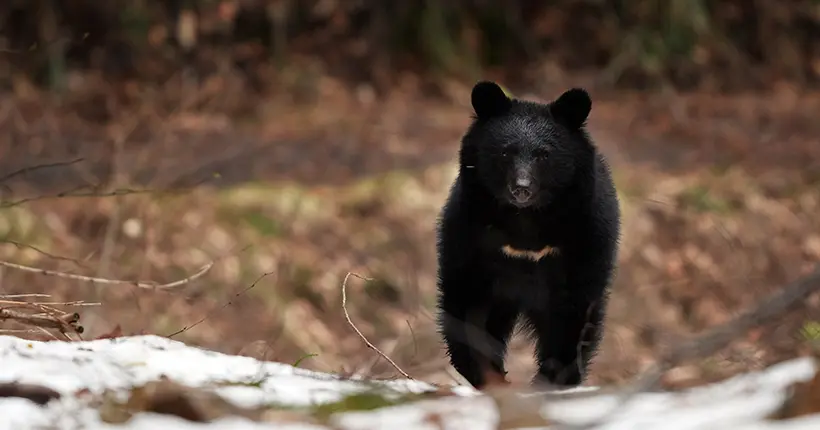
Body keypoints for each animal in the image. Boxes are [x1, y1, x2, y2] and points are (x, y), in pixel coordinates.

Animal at [436, 80, 620, 390]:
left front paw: (550, 378)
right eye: (506, 152)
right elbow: (470, 302)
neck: (526, 219)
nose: (521, 188)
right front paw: (488, 375)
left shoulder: (583, 237)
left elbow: (573, 310)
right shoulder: (471, 233)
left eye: (544, 154)